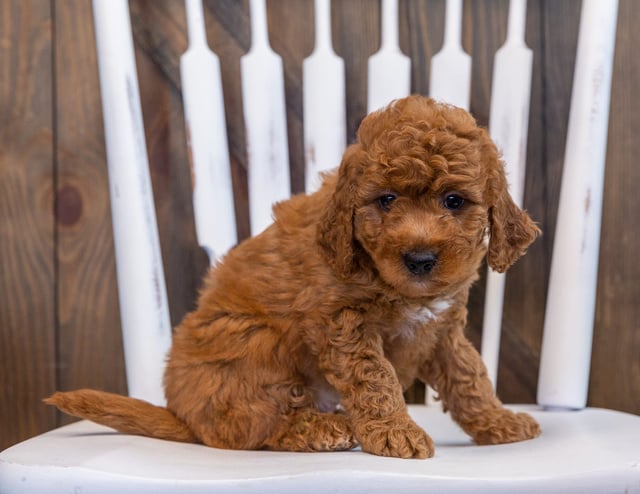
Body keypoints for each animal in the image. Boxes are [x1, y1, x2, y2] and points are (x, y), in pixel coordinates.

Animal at [47, 94, 544, 458]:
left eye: (454, 201)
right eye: (385, 200)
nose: (420, 258)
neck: (394, 284)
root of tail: (183, 416)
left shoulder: (443, 330)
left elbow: (470, 377)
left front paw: (498, 421)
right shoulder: (342, 323)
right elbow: (375, 378)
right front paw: (394, 431)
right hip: (251, 339)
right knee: (253, 428)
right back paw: (326, 428)